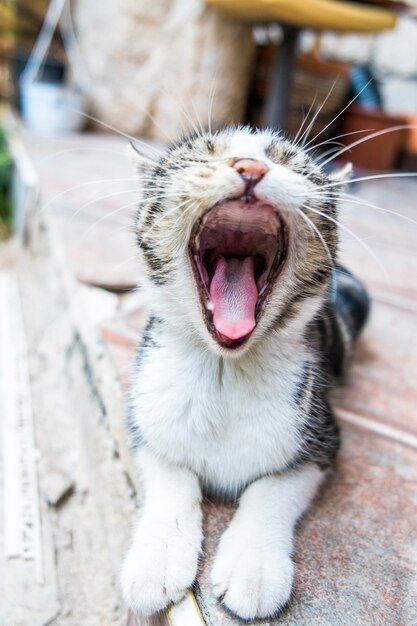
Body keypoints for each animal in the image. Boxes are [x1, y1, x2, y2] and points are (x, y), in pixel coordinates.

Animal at [119, 127, 368, 620]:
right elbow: (169, 474)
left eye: (289, 162)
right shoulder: (144, 415)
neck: (224, 370)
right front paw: (156, 560)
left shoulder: (321, 437)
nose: (250, 167)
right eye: (203, 155)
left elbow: (273, 489)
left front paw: (254, 568)